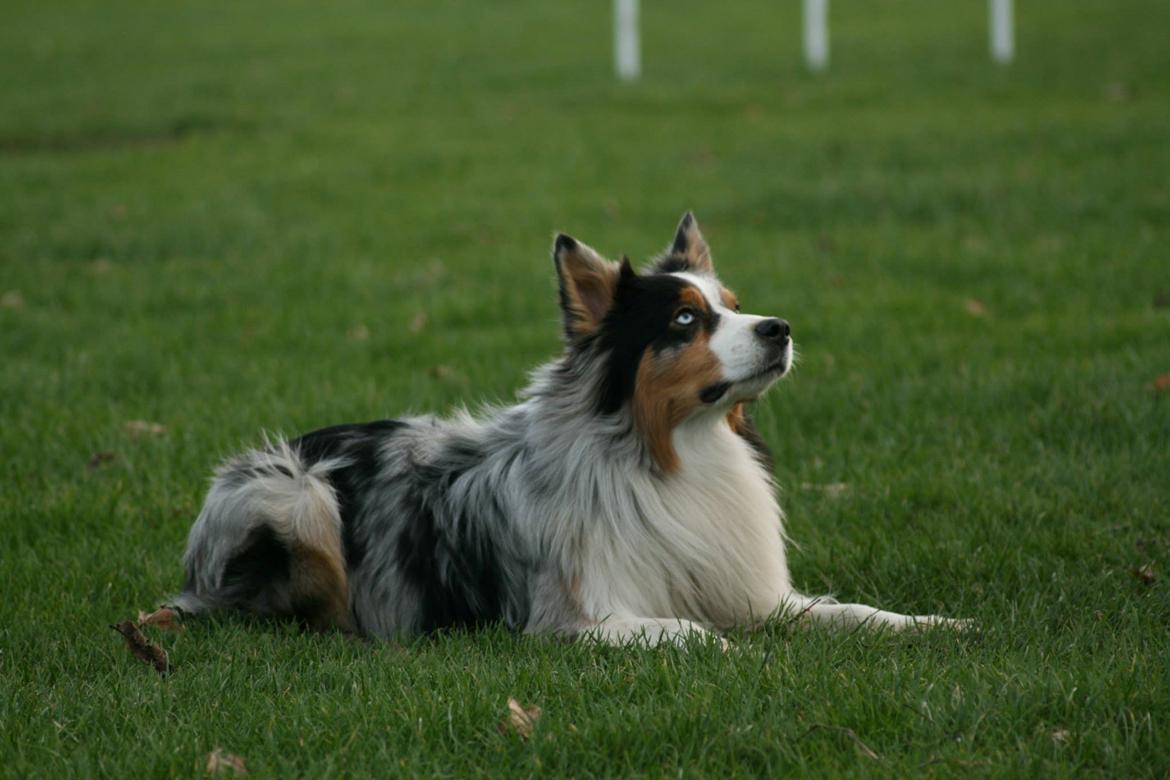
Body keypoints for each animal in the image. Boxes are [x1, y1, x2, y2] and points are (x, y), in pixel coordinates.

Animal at [157, 210, 959, 645]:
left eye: (733, 305)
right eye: (685, 320)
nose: (780, 328)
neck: (675, 456)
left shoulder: (758, 594)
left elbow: (853, 611)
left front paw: (935, 626)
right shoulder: (574, 615)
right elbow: (684, 630)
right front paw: (730, 652)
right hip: (297, 497)